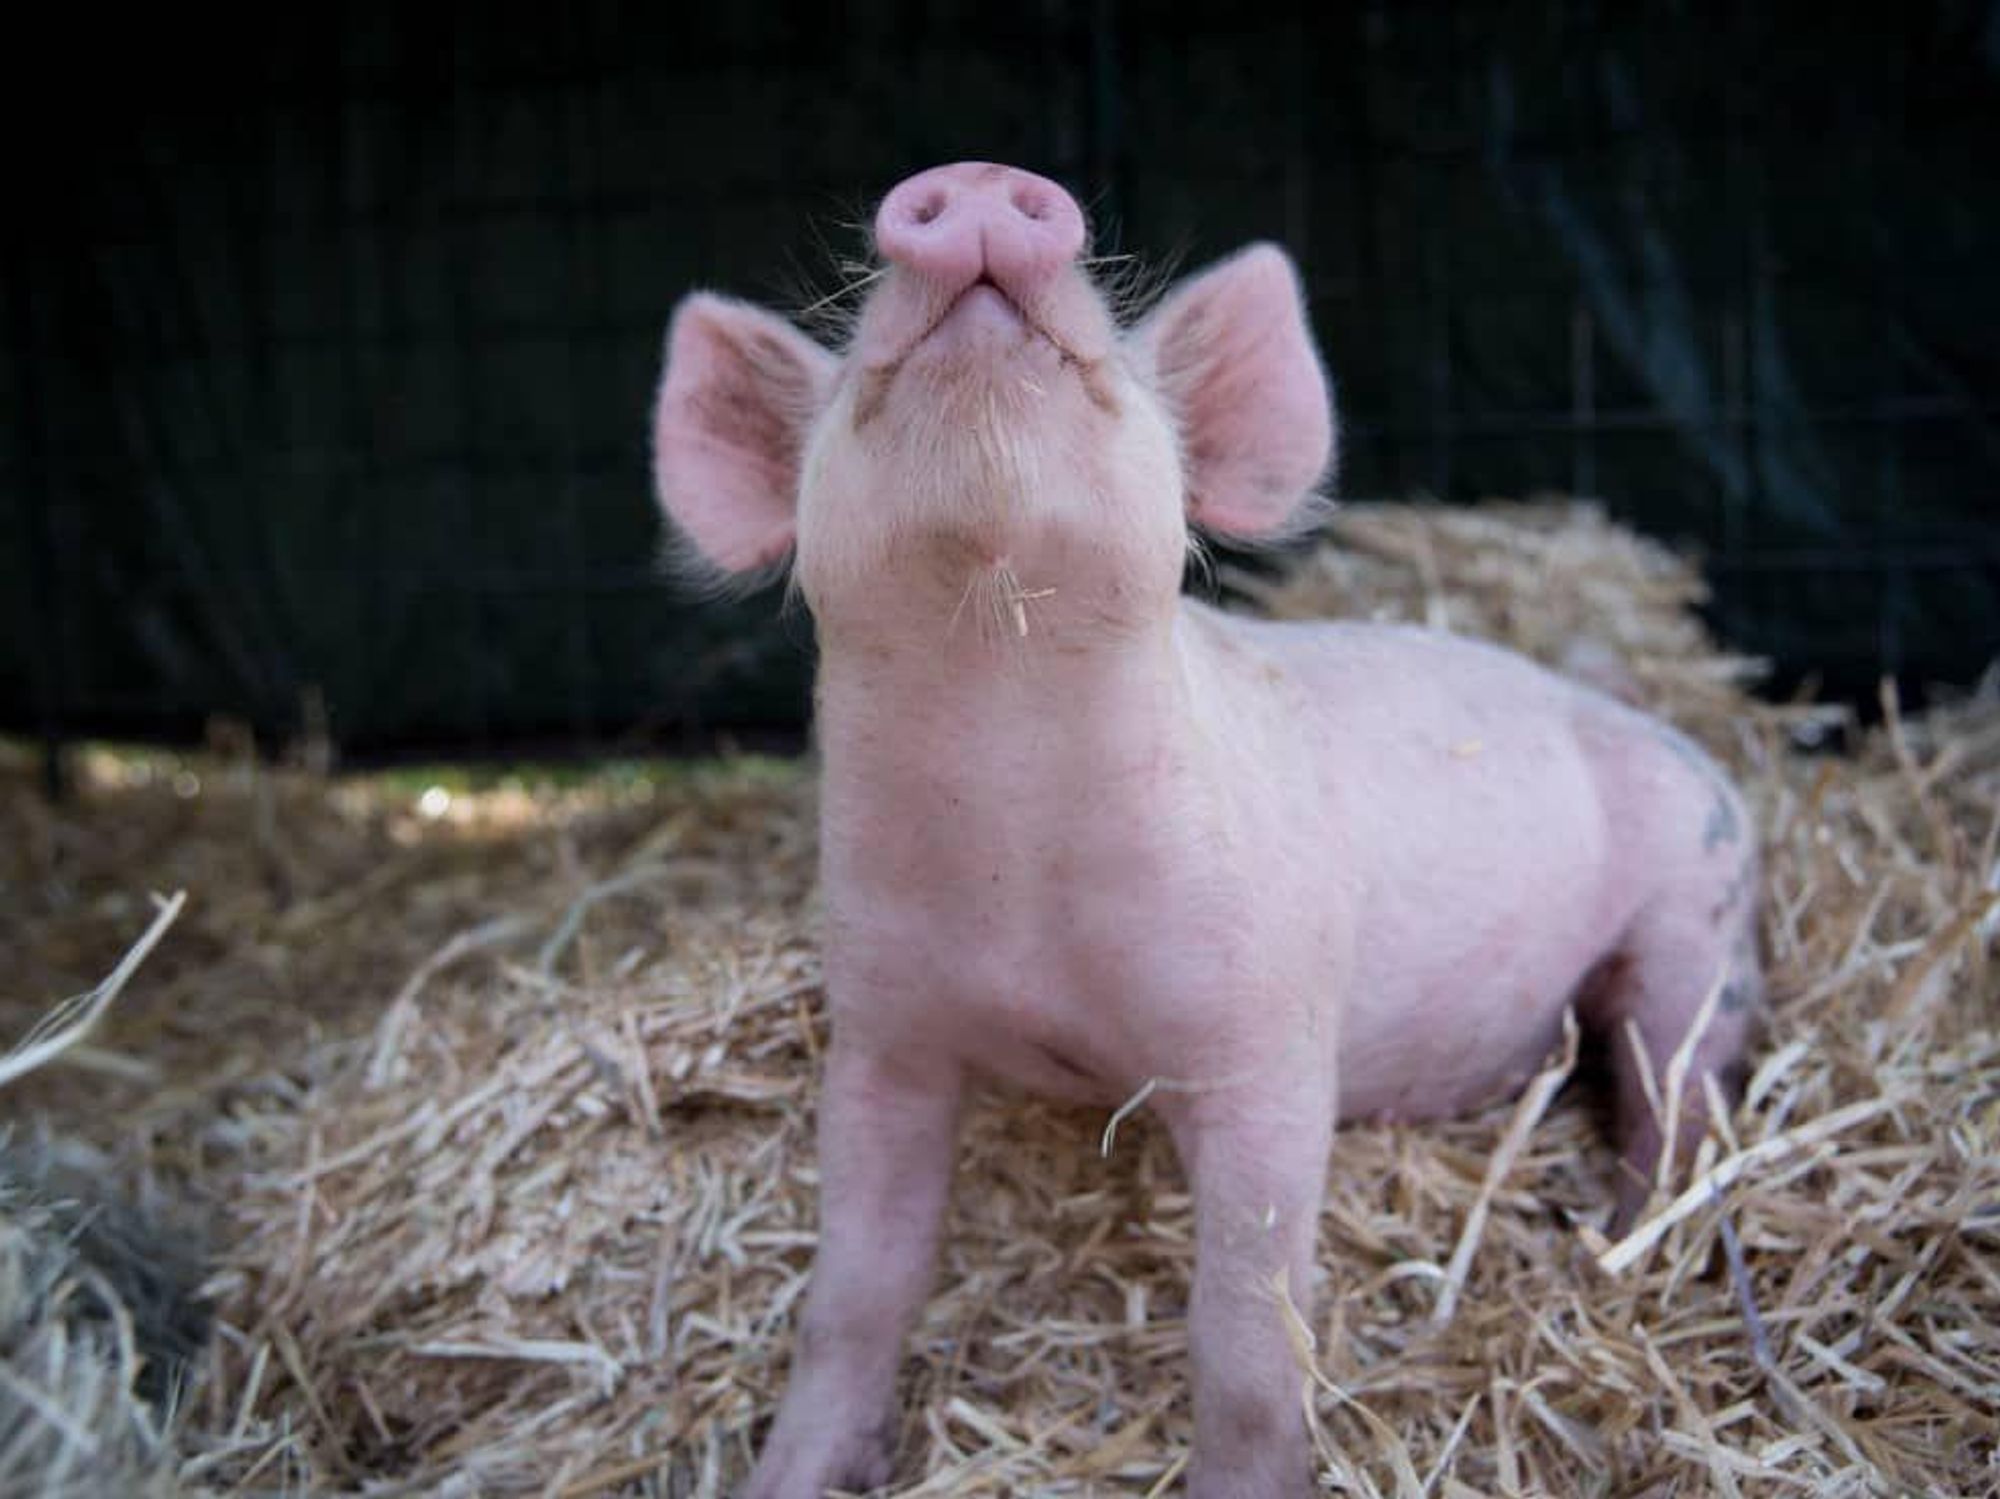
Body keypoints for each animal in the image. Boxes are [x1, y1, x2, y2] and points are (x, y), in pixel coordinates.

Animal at [651, 162, 1760, 1499]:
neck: (1016, 864)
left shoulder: (1264, 1036)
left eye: (1119, 373)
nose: (974, 178)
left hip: (1695, 915)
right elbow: (853, 1288)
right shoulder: (882, 1027)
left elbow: (1243, 1323)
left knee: (1673, 1093)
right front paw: (788, 1473)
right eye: (856, 376)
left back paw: (1614, 1233)